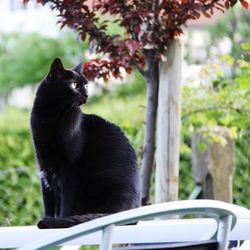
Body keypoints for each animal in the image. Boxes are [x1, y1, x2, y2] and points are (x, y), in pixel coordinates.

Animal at [30, 58, 140, 229]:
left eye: (86, 85)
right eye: (75, 85)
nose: (87, 94)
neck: (50, 117)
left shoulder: (69, 169)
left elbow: (66, 203)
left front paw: (57, 221)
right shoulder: (44, 167)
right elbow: (47, 201)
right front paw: (48, 217)